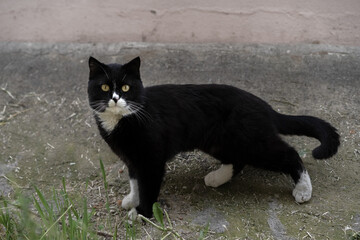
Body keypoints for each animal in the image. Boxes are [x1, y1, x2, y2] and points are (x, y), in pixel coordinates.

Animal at [86, 55, 338, 218]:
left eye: (126, 88)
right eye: (105, 87)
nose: (115, 98)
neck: (122, 121)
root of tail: (264, 106)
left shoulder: (151, 159)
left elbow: (148, 184)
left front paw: (142, 213)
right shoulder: (132, 158)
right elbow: (135, 180)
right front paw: (133, 199)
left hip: (252, 143)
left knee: (289, 154)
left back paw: (303, 190)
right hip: (221, 142)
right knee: (237, 160)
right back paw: (217, 177)